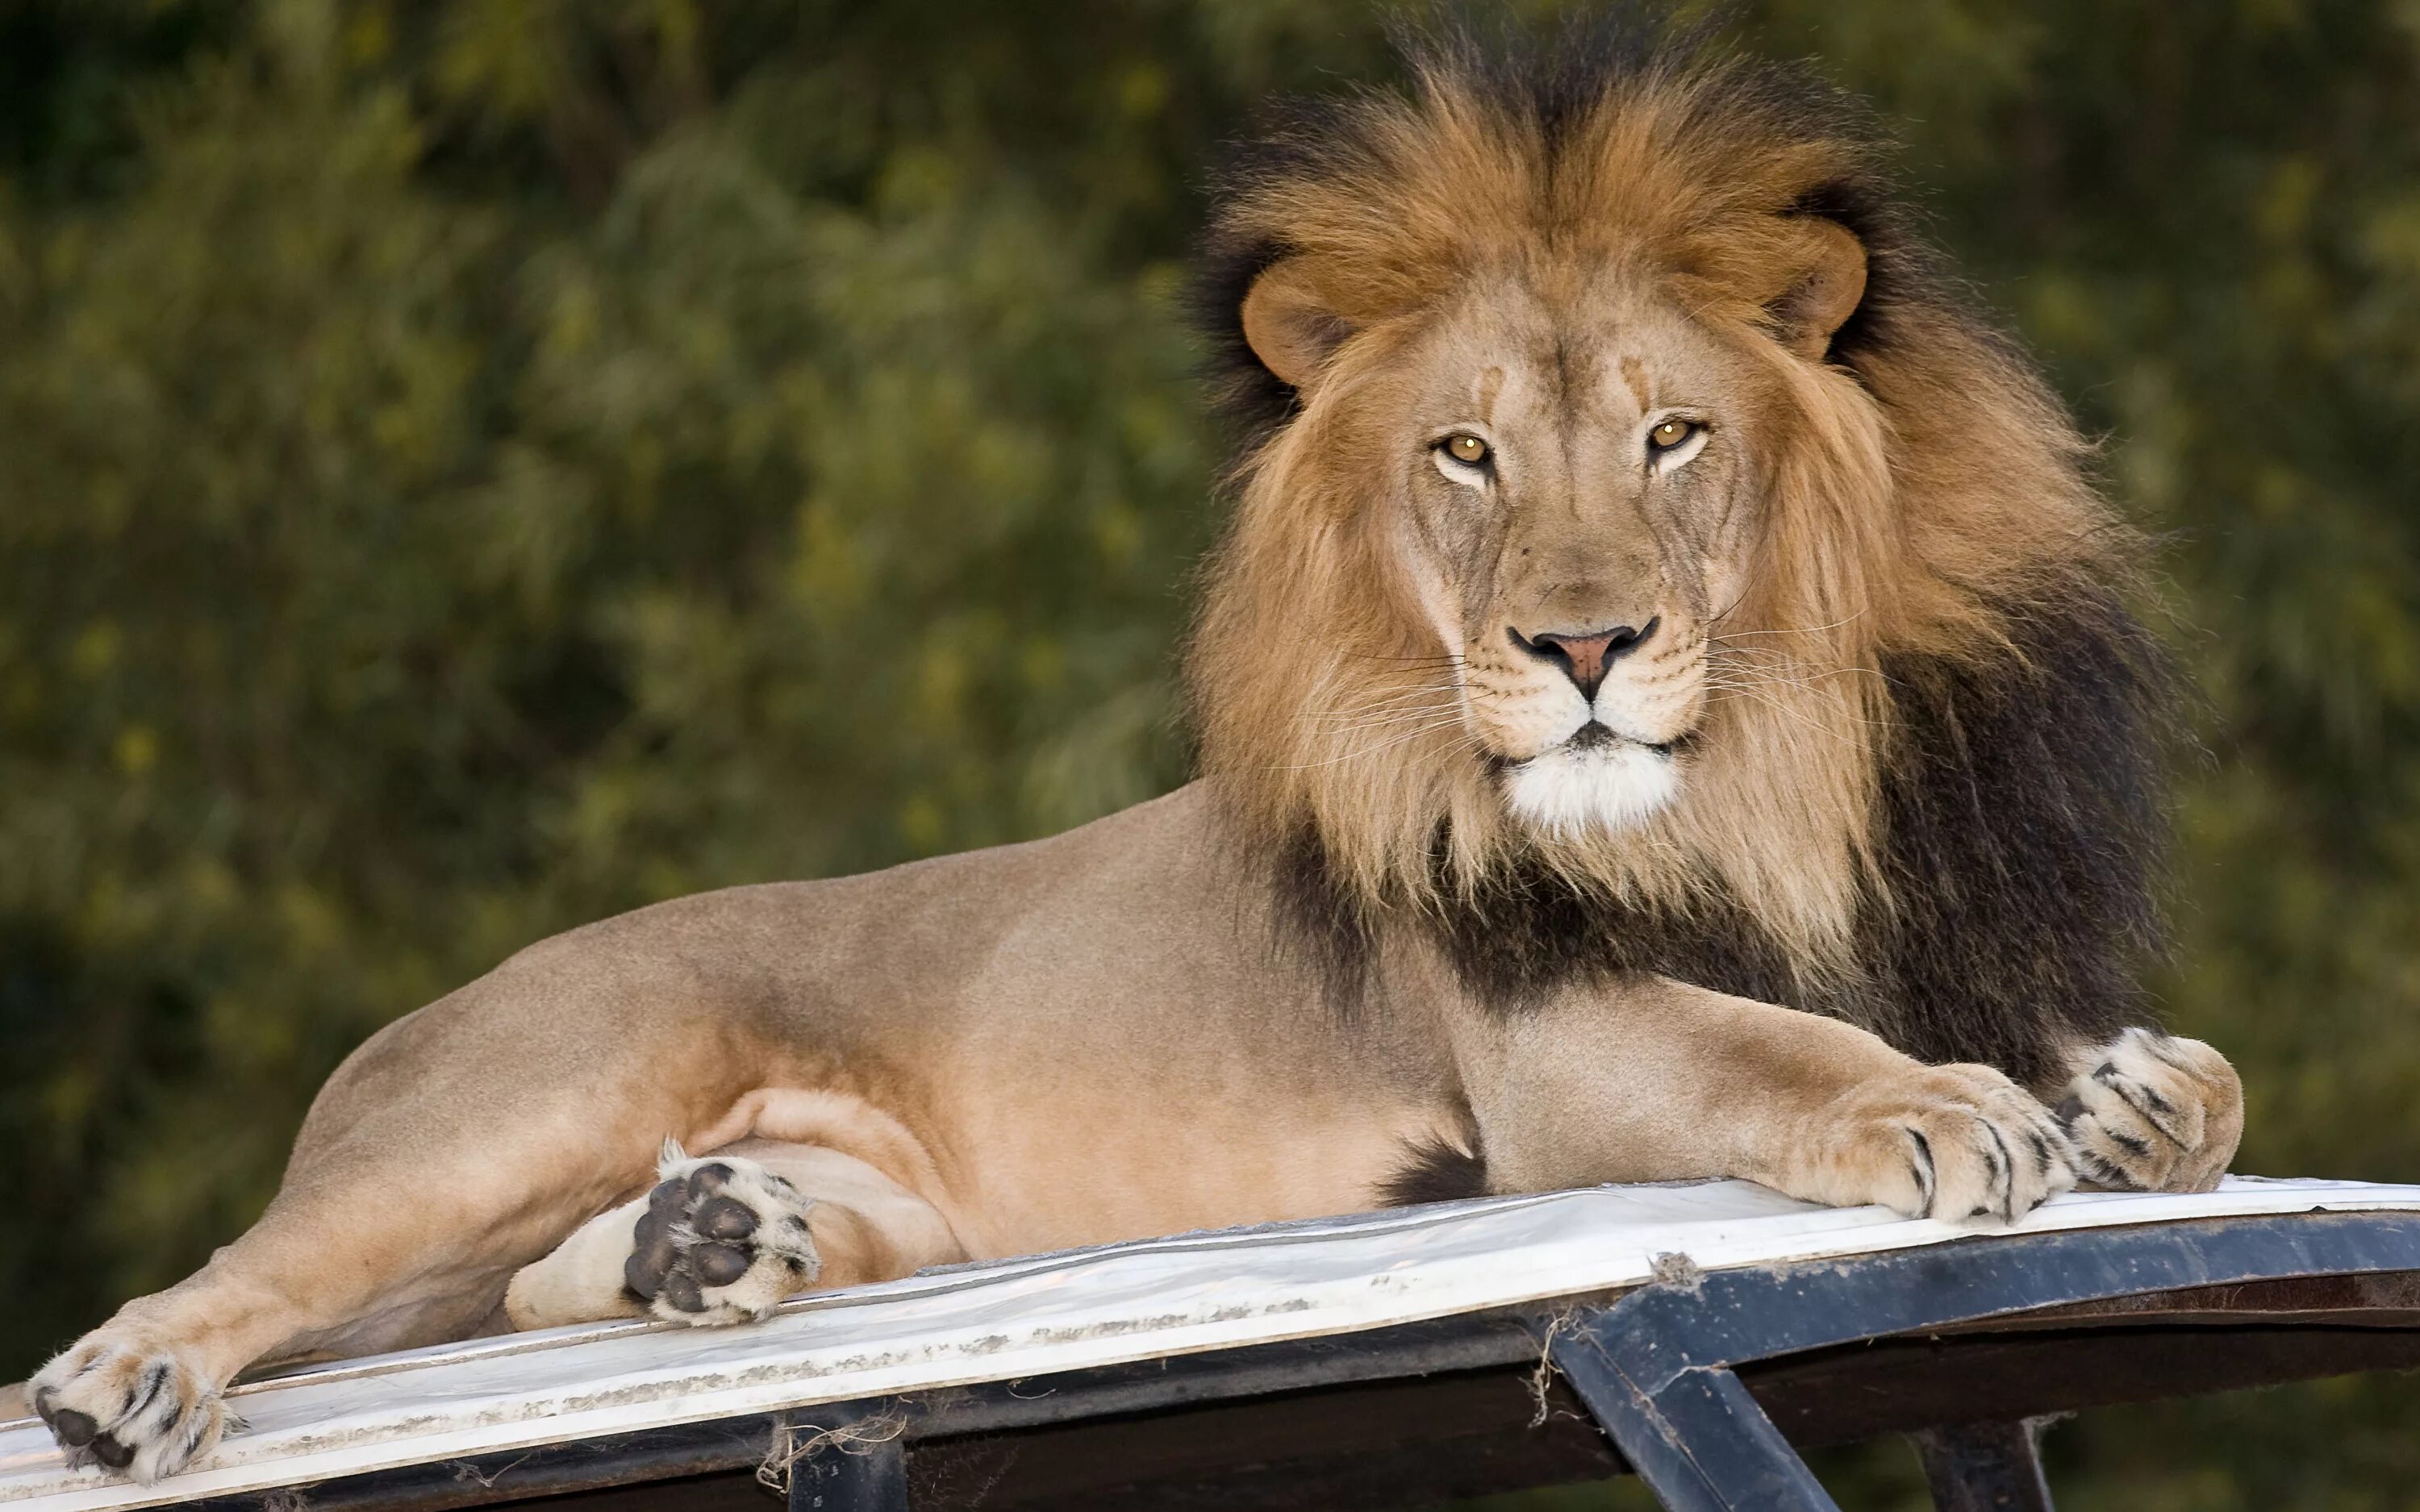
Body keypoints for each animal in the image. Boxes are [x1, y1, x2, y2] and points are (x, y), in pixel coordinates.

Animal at [28, 23, 2236, 1481]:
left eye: (1670, 434)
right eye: (1467, 454)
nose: (1583, 646)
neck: (1775, 766)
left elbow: (2186, 1077)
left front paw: (2130, 1094)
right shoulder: (1542, 1048)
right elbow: (1766, 1044)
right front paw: (1936, 1107)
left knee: (525, 1293)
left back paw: (711, 1237)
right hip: (521, 1093)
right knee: (255, 1268)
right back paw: (125, 1383)